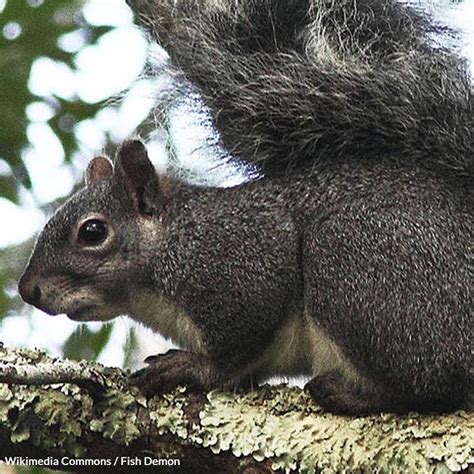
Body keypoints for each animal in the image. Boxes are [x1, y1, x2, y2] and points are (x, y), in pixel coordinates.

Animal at [17, 0, 470, 414]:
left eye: (93, 232)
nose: (27, 290)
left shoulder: (242, 264)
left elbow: (233, 352)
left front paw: (191, 368)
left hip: (356, 269)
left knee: (430, 383)